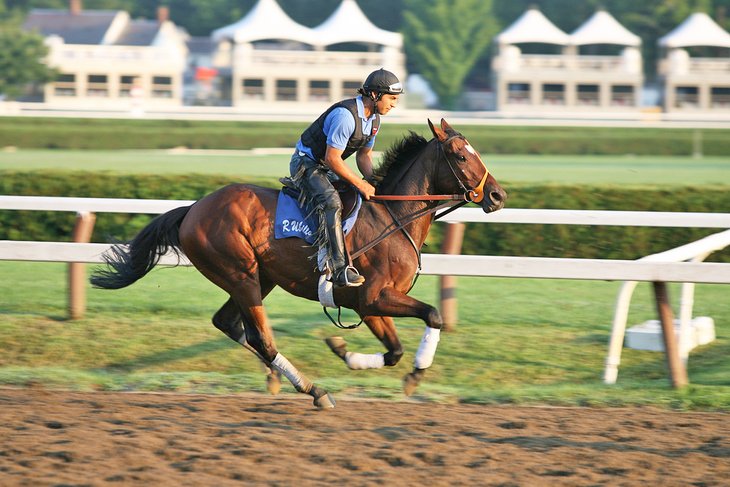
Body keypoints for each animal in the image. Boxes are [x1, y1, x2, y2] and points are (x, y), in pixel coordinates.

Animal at [91, 118, 506, 408]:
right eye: (461, 155)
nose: (498, 195)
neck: (392, 217)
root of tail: (193, 209)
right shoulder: (372, 297)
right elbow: (431, 317)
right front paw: (414, 374)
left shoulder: (367, 306)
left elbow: (394, 351)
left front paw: (344, 350)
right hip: (240, 274)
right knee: (261, 337)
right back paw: (313, 390)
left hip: (260, 278)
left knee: (230, 324)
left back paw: (283, 379)